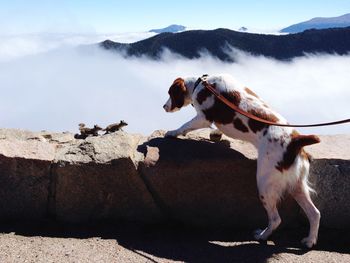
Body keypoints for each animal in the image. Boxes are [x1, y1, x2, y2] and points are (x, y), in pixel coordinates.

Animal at [163, 73, 322, 249]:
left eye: (170, 93)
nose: (163, 106)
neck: (201, 84)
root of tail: (296, 141)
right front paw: (216, 135)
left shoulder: (203, 118)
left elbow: (185, 125)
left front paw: (172, 132)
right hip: (297, 185)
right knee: (315, 213)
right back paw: (310, 241)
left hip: (265, 183)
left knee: (276, 219)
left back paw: (262, 235)